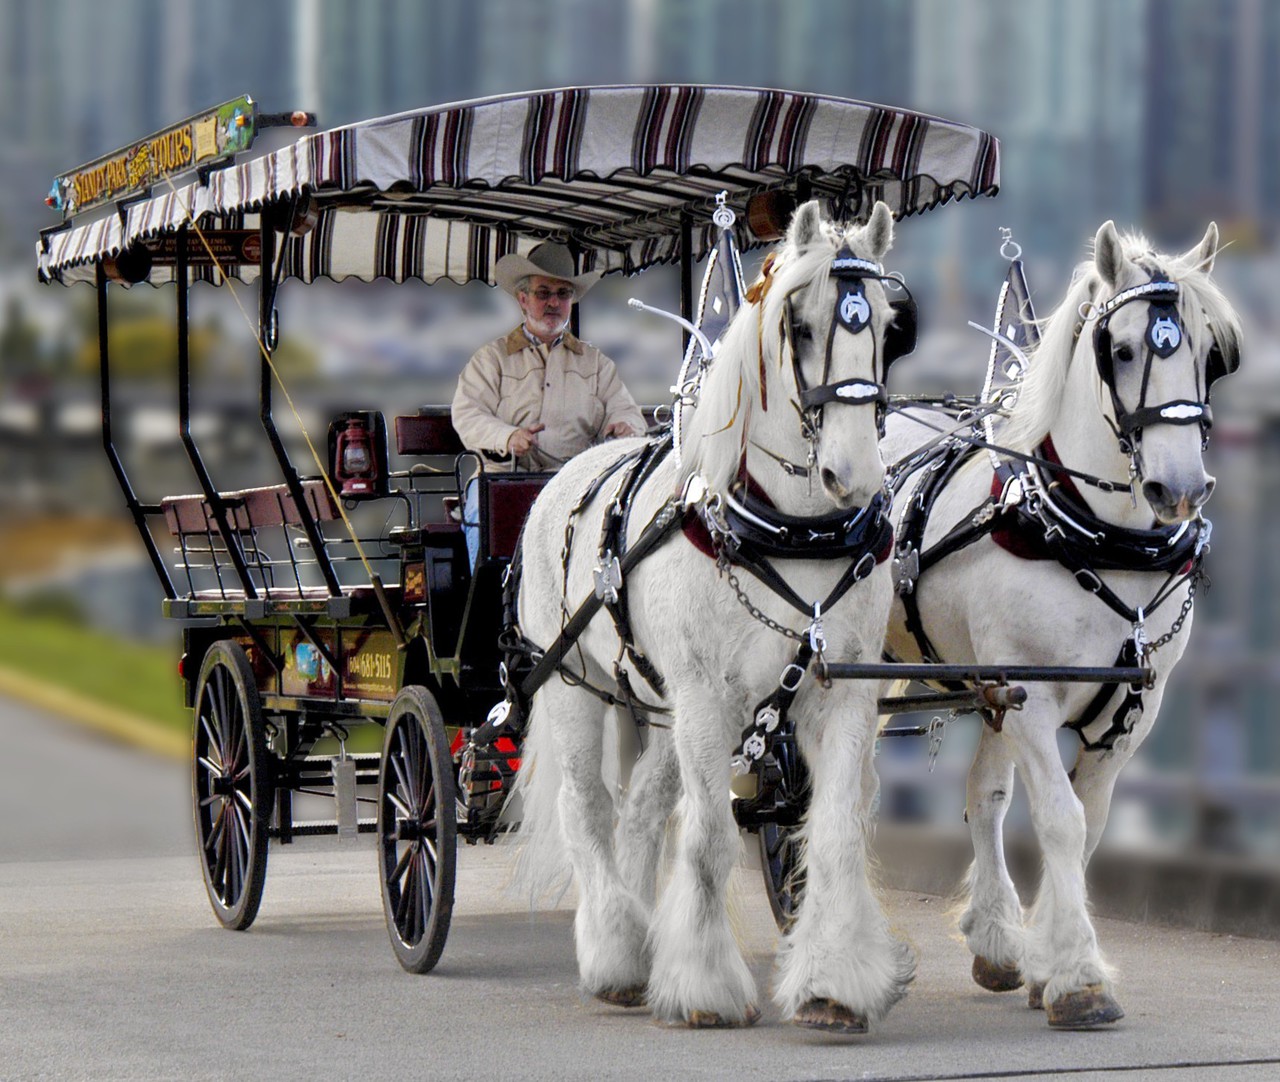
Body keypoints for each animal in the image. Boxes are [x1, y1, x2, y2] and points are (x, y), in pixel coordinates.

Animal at [509, 201, 911, 1029]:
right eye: (800, 326)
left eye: (891, 327)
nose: (854, 475)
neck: (788, 531)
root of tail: (565, 472)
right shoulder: (705, 695)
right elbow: (708, 843)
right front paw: (703, 983)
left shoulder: (839, 695)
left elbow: (831, 834)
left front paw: (833, 980)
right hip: (574, 685)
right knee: (586, 808)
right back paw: (616, 951)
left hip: (657, 705)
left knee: (639, 812)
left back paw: (637, 939)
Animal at [880, 217, 1239, 1019]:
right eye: (1124, 349)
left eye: (1210, 353)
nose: (1181, 487)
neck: (1095, 537)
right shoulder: (1035, 697)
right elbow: (1060, 819)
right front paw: (1078, 976)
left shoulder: (1130, 709)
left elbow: (1088, 821)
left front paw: (1049, 960)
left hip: (983, 683)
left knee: (982, 797)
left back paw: (994, 940)